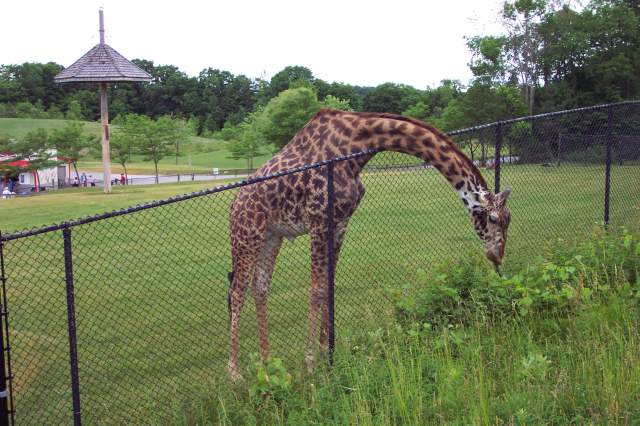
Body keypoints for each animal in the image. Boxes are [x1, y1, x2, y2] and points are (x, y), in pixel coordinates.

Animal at [228, 109, 512, 380]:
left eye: (509, 218)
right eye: (493, 218)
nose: (497, 256)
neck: (355, 149)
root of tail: (233, 205)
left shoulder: (339, 223)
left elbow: (329, 286)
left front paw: (327, 354)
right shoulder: (319, 221)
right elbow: (317, 290)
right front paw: (311, 363)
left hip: (271, 236)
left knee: (260, 287)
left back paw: (266, 364)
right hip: (247, 235)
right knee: (237, 292)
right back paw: (234, 373)